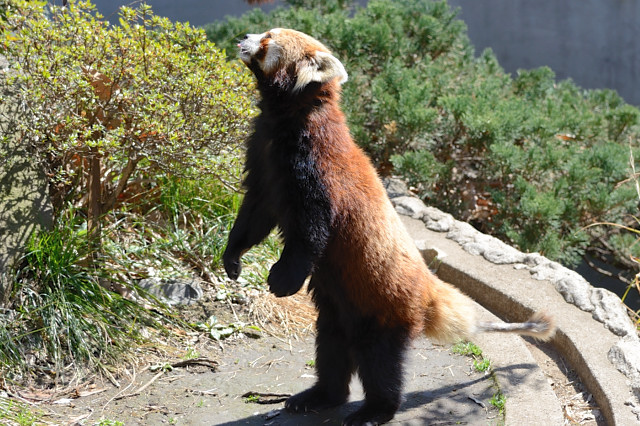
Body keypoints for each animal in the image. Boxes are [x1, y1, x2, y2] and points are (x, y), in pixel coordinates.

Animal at [225, 29, 556, 426]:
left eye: (268, 38)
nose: (244, 35)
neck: (285, 120)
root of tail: (427, 287)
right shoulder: (263, 161)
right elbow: (255, 215)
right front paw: (232, 258)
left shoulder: (316, 171)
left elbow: (312, 233)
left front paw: (283, 279)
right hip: (338, 311)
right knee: (332, 350)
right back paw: (319, 396)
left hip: (383, 309)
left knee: (379, 363)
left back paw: (374, 410)